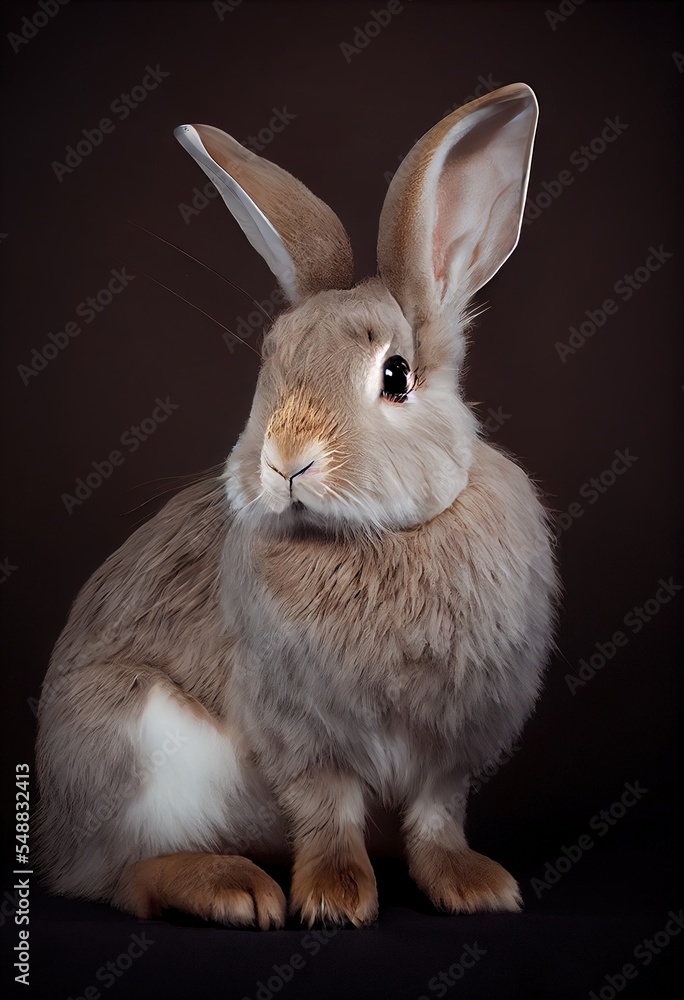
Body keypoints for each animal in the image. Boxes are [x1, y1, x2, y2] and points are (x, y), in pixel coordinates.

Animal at [35, 82, 559, 930]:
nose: (285, 461)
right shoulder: (304, 736)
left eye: (396, 376)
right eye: (268, 366)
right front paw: (336, 900)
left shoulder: (446, 749)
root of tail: (54, 832)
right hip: (136, 747)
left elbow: (437, 818)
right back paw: (232, 889)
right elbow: (327, 813)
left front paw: (476, 887)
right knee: (121, 876)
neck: (376, 537)